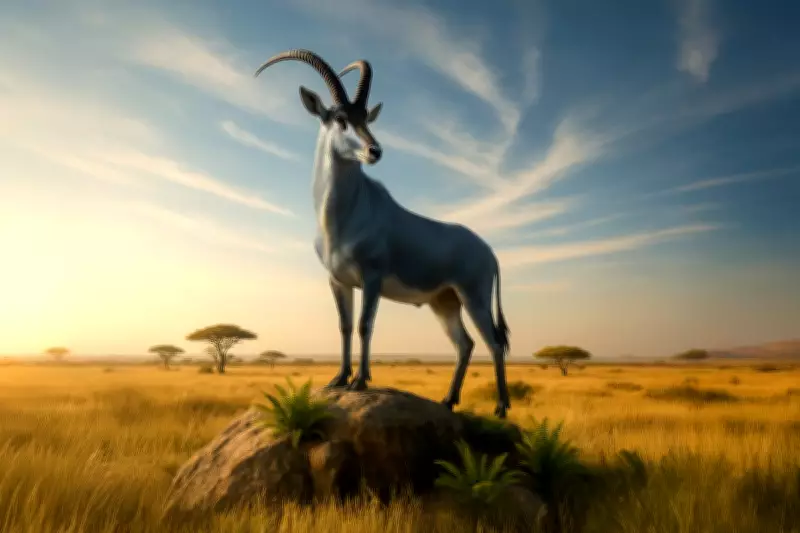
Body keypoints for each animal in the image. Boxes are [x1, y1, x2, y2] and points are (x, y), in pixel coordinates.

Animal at [254, 49, 511, 417]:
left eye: (366, 118)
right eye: (340, 118)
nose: (374, 151)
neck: (344, 216)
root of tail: (489, 251)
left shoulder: (372, 277)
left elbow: (365, 324)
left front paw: (360, 381)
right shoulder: (338, 280)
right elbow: (345, 326)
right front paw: (339, 379)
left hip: (473, 296)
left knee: (493, 342)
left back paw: (502, 408)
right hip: (444, 302)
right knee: (465, 344)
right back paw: (448, 401)